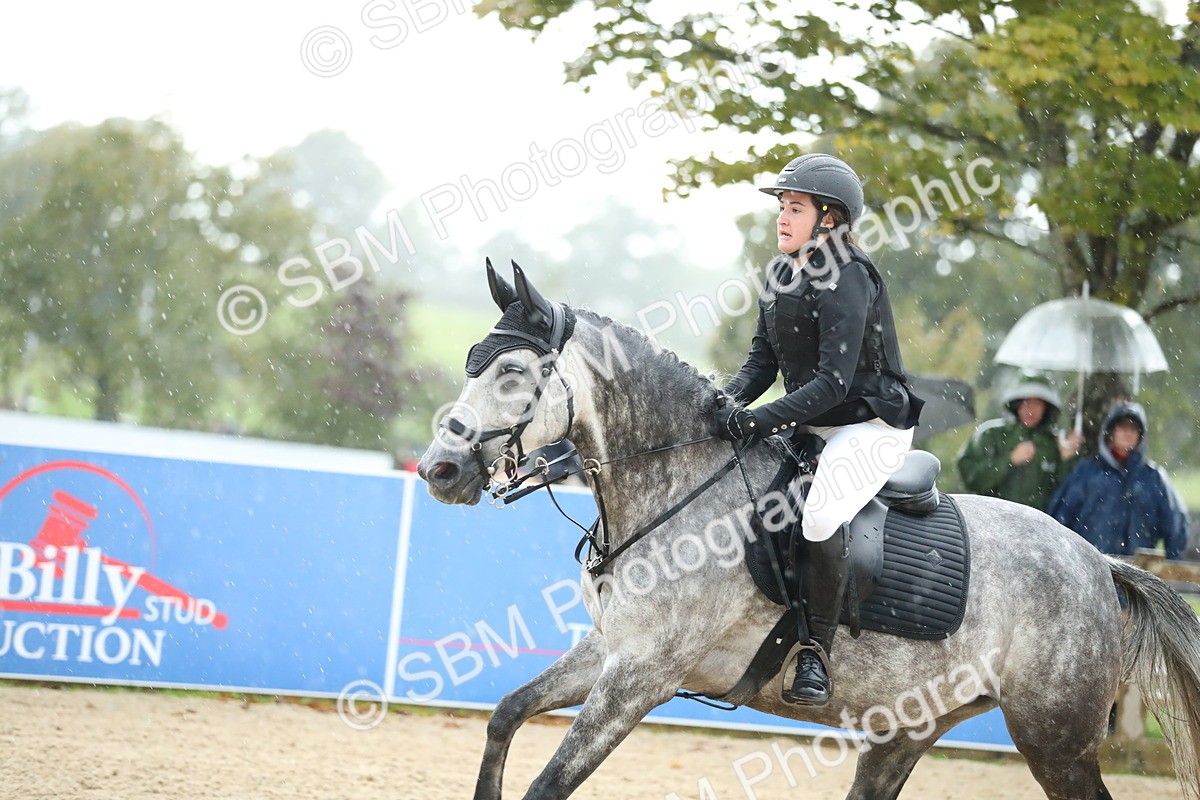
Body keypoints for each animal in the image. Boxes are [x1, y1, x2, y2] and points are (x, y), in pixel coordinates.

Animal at [417, 262, 1200, 800]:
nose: (440, 470)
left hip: (1055, 738)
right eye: (475, 364)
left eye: (513, 372)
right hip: (910, 728)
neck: (675, 481)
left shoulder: (643, 675)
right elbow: (505, 715)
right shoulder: (611, 652)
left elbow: (548, 784)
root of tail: (1098, 562)